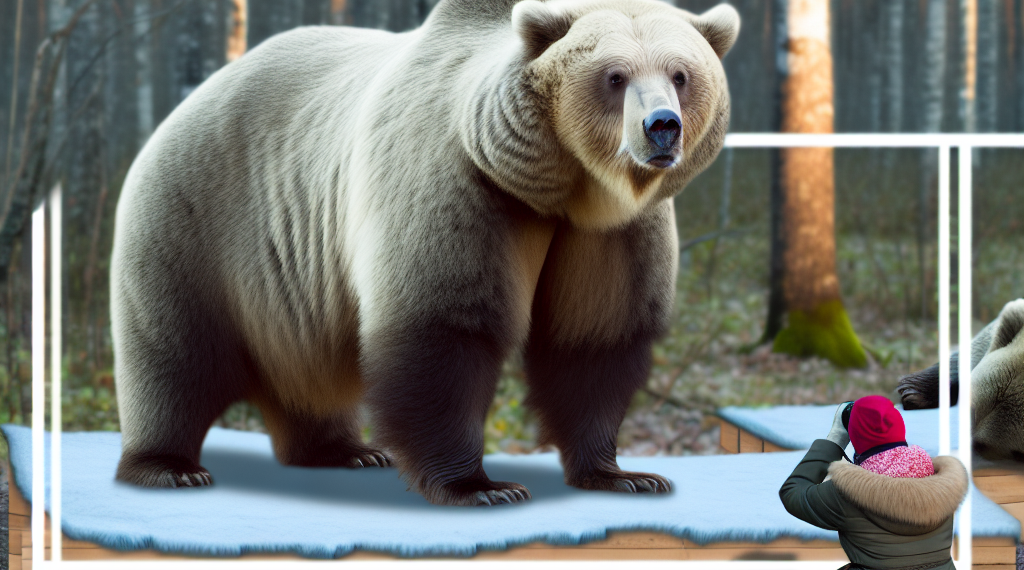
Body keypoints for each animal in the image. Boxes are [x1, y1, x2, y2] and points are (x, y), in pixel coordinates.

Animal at [111, 0, 740, 506]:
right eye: (614, 76)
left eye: (681, 73)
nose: (661, 127)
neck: (564, 188)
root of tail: (193, 98)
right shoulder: (459, 181)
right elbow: (443, 323)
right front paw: (481, 486)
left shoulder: (611, 233)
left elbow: (594, 337)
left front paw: (624, 474)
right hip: (199, 217)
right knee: (173, 350)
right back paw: (168, 466)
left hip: (290, 290)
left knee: (305, 372)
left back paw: (344, 450)